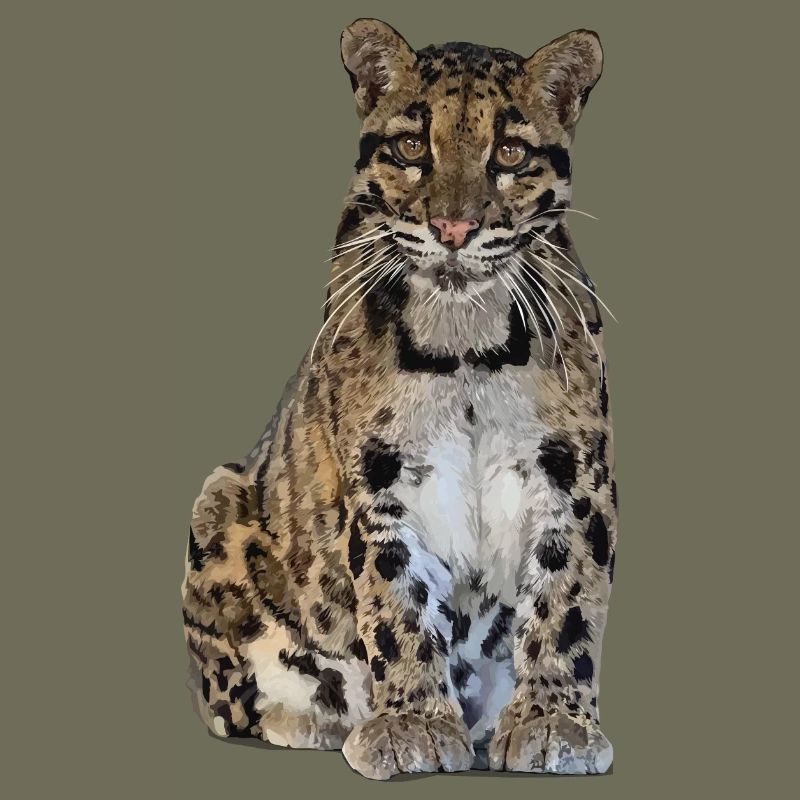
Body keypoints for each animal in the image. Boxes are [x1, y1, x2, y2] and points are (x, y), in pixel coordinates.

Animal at [181, 18, 617, 779]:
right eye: (414, 146)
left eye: (509, 152)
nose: (453, 230)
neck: (466, 342)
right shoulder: (379, 478)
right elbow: (397, 601)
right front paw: (412, 723)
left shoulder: (573, 474)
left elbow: (567, 600)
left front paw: (553, 721)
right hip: (218, 501)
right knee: (234, 701)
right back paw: (323, 719)